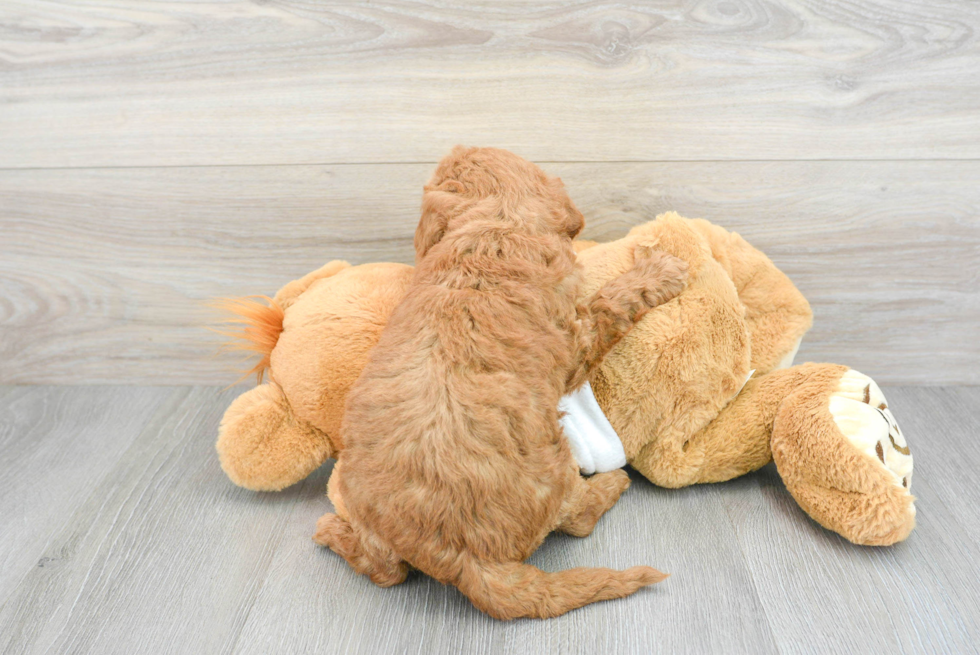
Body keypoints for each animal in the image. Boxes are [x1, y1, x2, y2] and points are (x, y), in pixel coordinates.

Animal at [316, 145, 688, 620]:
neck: (494, 224)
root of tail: (467, 559)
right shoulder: (575, 345)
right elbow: (609, 304)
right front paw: (661, 269)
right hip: (554, 470)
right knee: (577, 518)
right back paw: (611, 484)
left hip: (364, 505)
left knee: (385, 570)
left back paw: (331, 530)